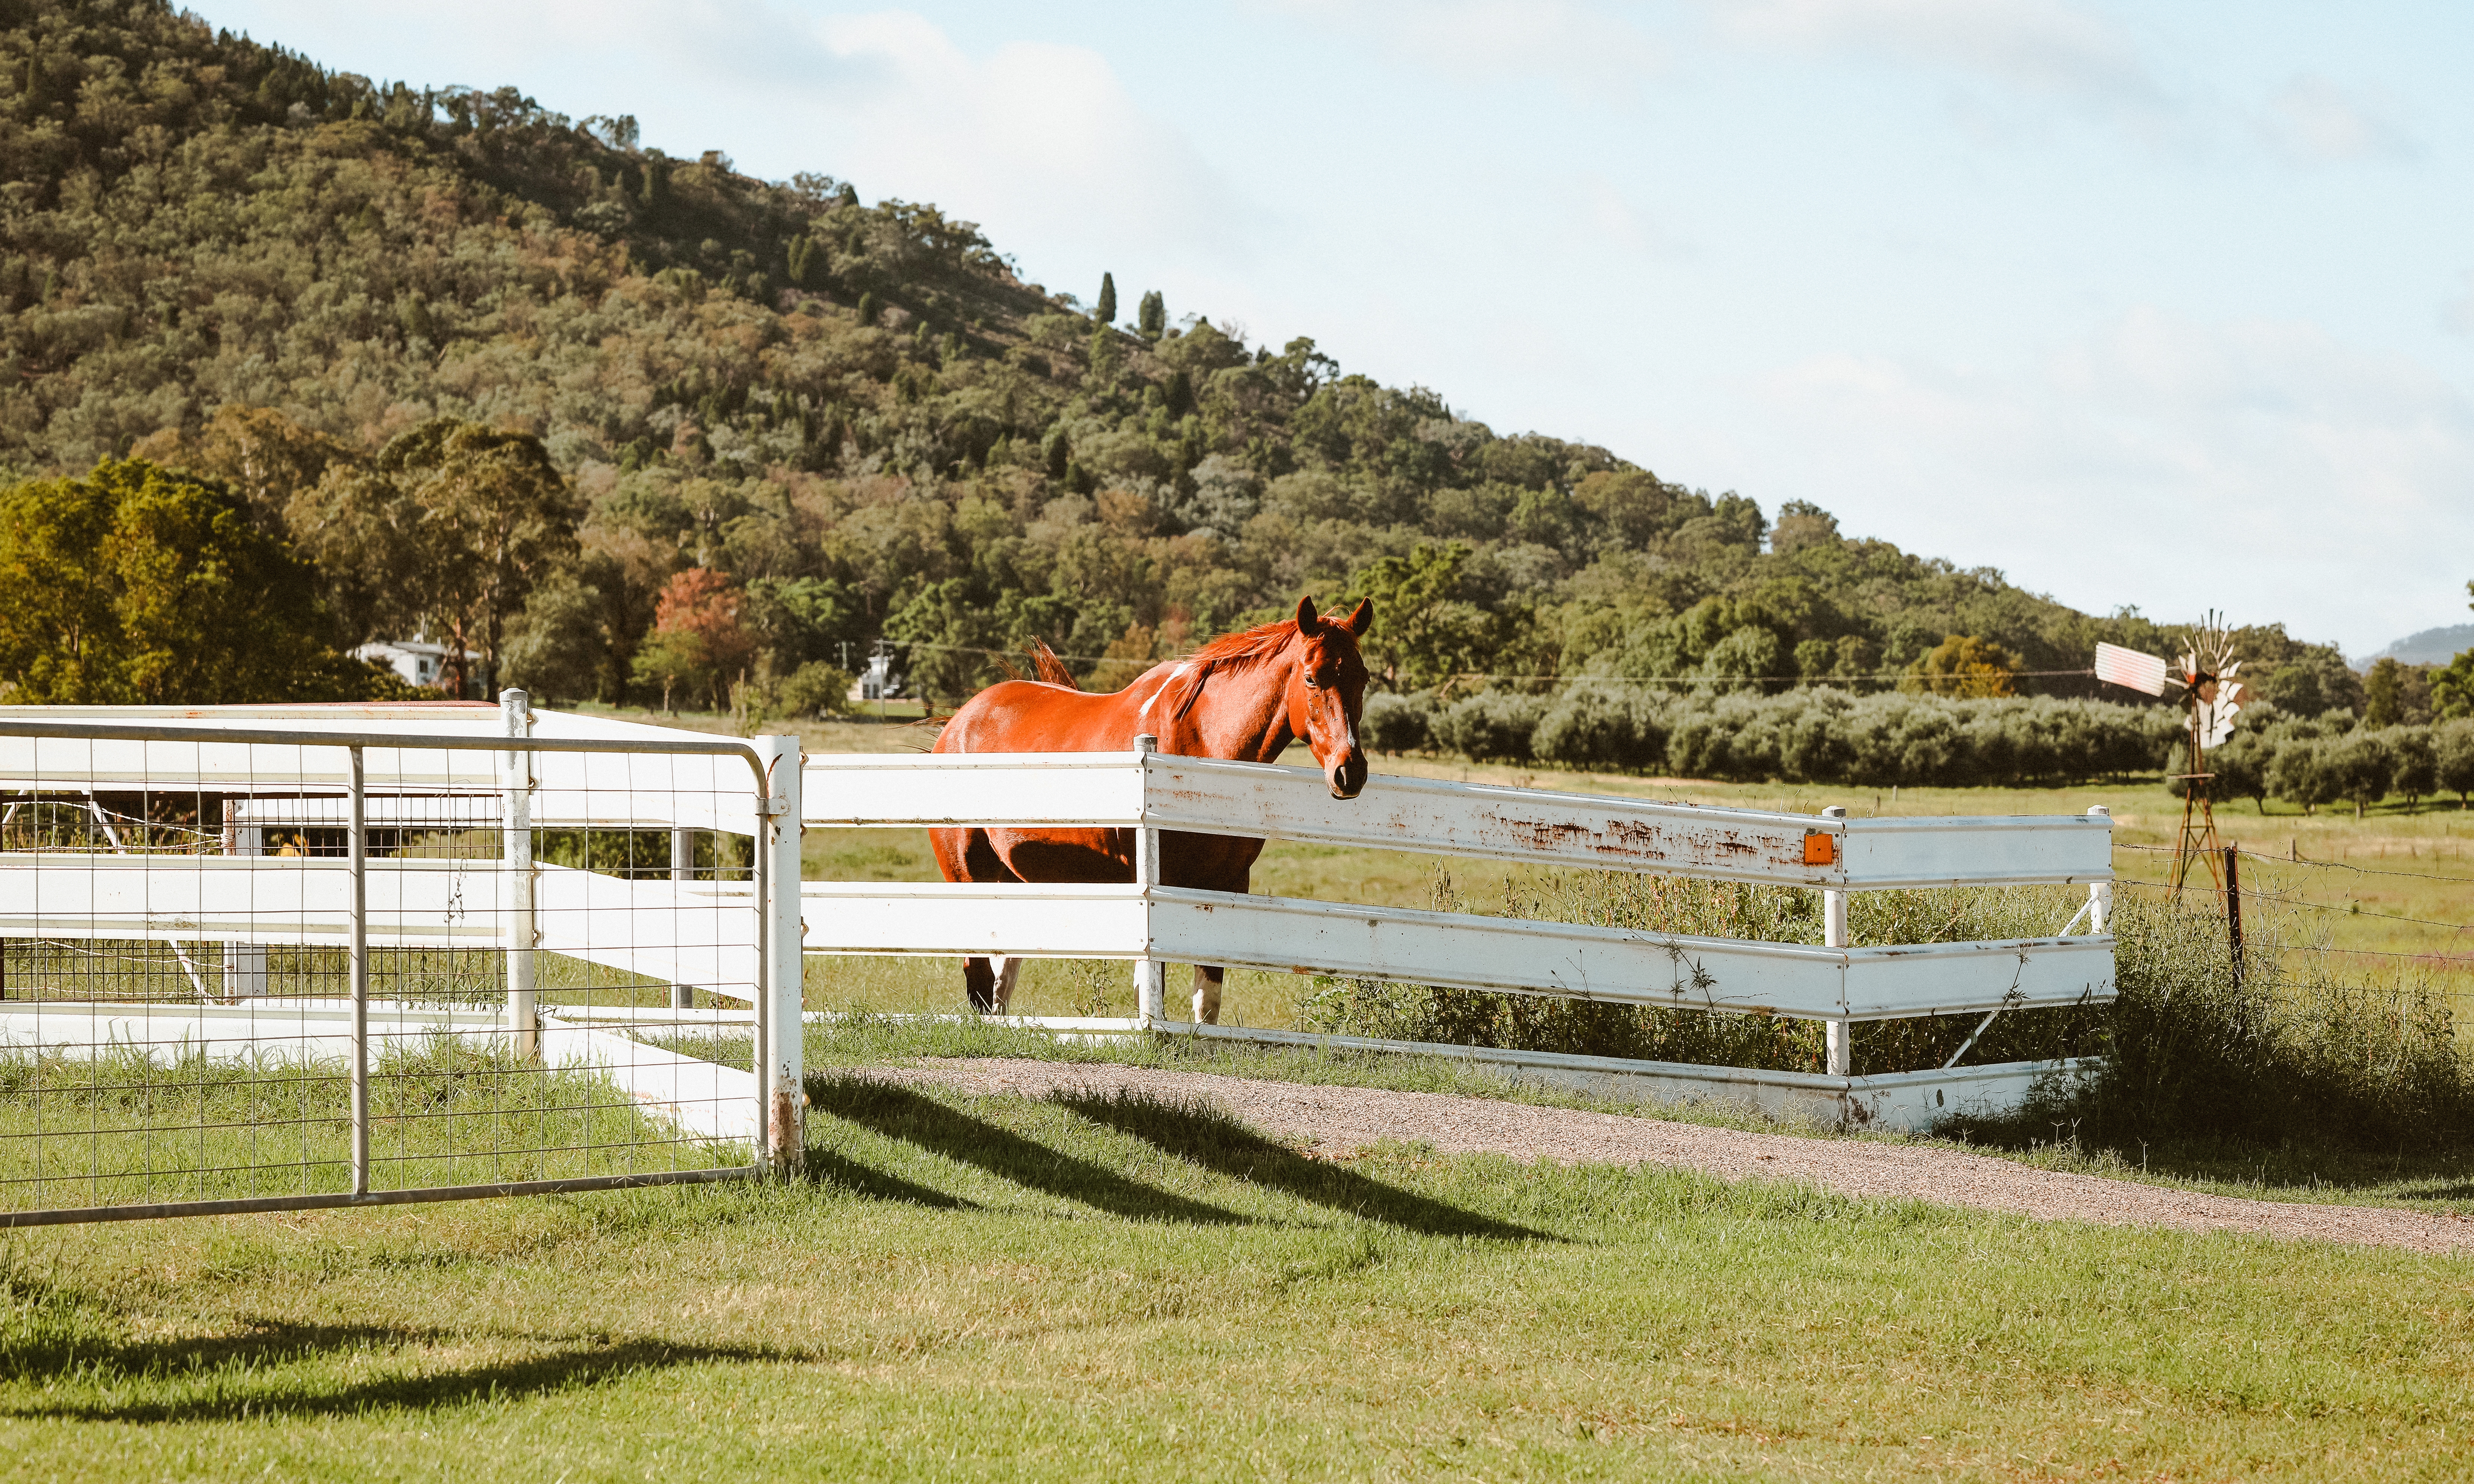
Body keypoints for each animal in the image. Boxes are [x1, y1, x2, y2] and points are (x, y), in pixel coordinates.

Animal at [935, 591, 1385, 1019]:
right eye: (1311, 677)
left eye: (1362, 678)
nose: (1350, 771)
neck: (1202, 744)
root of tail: (959, 723)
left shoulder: (1228, 883)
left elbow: (1208, 999)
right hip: (969, 878)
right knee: (978, 973)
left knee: (1001, 974)